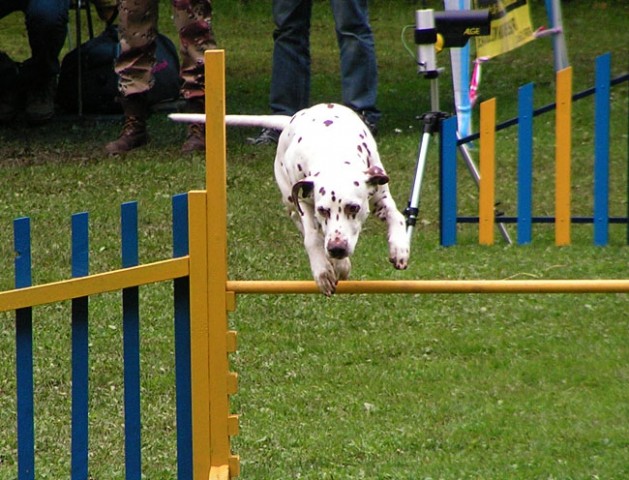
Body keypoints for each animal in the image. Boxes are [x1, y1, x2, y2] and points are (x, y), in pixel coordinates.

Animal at [274, 103, 408, 294]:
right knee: (298, 218)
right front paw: (322, 269)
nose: (337, 249)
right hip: (290, 198)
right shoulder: (306, 204)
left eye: (353, 207)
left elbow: (397, 216)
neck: (333, 151)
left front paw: (399, 248)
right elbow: (312, 237)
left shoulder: (380, 198)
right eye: (323, 210)